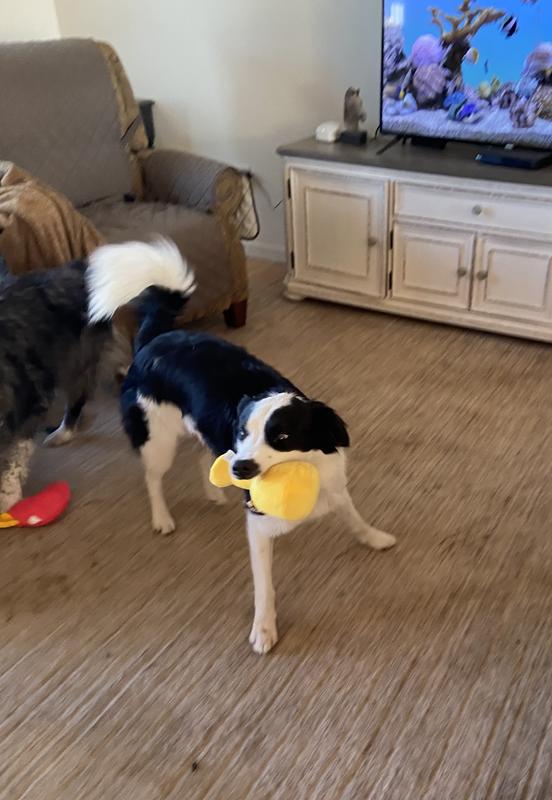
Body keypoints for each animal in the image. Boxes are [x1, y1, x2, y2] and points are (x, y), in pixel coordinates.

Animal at [0, 240, 195, 513]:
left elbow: (14, 455)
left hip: (77, 362)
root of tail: (79, 268)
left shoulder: (29, 402)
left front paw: (7, 494)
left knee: (81, 397)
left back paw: (64, 432)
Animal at [106, 243, 397, 654]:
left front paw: (374, 537)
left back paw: (213, 493)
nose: (241, 469)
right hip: (158, 439)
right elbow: (265, 588)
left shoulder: (334, 488)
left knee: (202, 455)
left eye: (283, 438)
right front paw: (264, 629)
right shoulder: (258, 526)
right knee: (153, 478)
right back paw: (162, 518)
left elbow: (353, 516)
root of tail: (156, 338)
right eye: (243, 432)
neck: (306, 470)